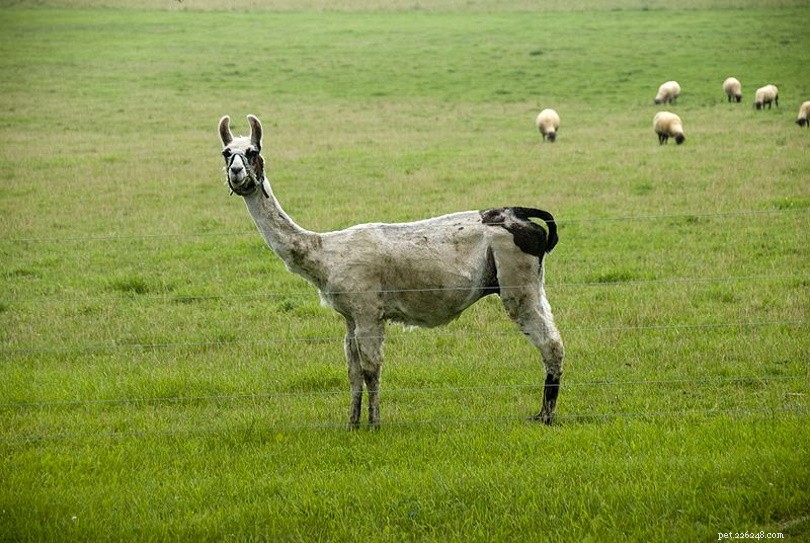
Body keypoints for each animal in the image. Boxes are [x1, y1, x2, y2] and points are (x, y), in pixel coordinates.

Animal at [218, 114, 566, 429]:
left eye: (252, 151)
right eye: (226, 152)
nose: (236, 172)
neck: (324, 252)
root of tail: (518, 214)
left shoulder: (368, 310)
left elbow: (372, 369)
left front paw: (374, 424)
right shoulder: (350, 317)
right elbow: (353, 372)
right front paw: (352, 423)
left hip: (518, 284)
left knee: (551, 345)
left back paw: (546, 417)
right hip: (532, 283)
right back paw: (541, 413)